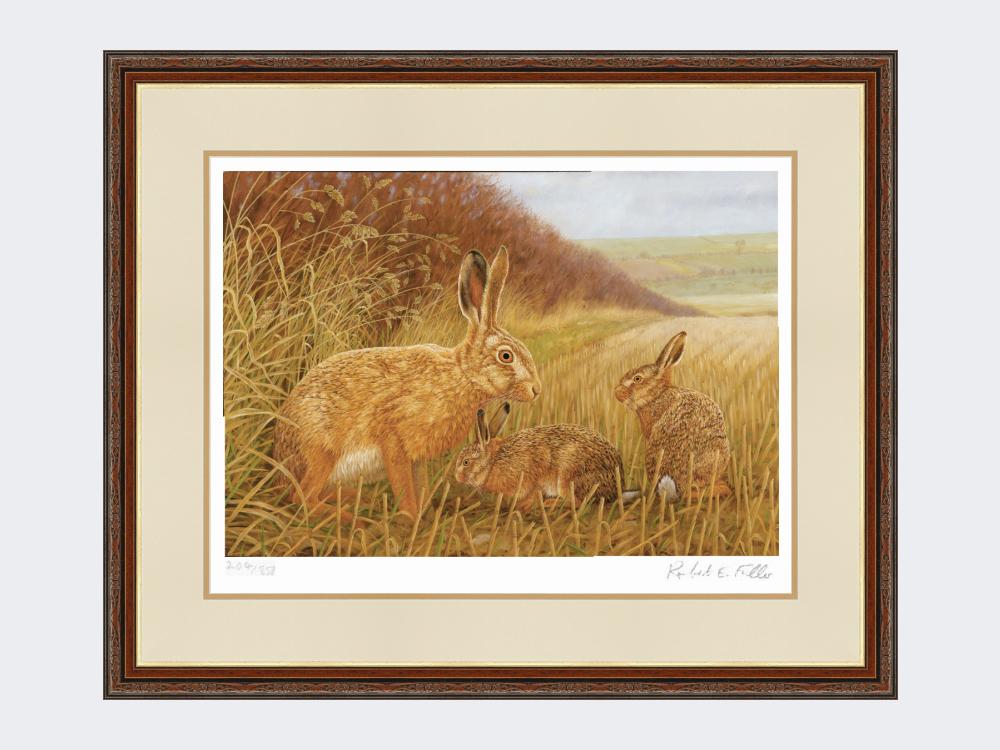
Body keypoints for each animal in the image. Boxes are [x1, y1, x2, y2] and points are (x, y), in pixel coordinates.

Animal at [272, 247, 542, 518]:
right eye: (506, 356)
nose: (536, 390)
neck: (462, 375)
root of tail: (279, 459)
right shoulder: (394, 438)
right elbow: (403, 485)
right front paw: (411, 517)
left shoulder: (417, 456)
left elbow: (420, 485)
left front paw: (426, 515)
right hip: (323, 452)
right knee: (302, 497)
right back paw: (353, 519)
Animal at [454, 402, 632, 512]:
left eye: (466, 462)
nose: (456, 478)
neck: (494, 461)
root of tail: (617, 487)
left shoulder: (531, 477)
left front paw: (522, 506)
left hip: (568, 477)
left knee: (579, 503)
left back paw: (550, 504)